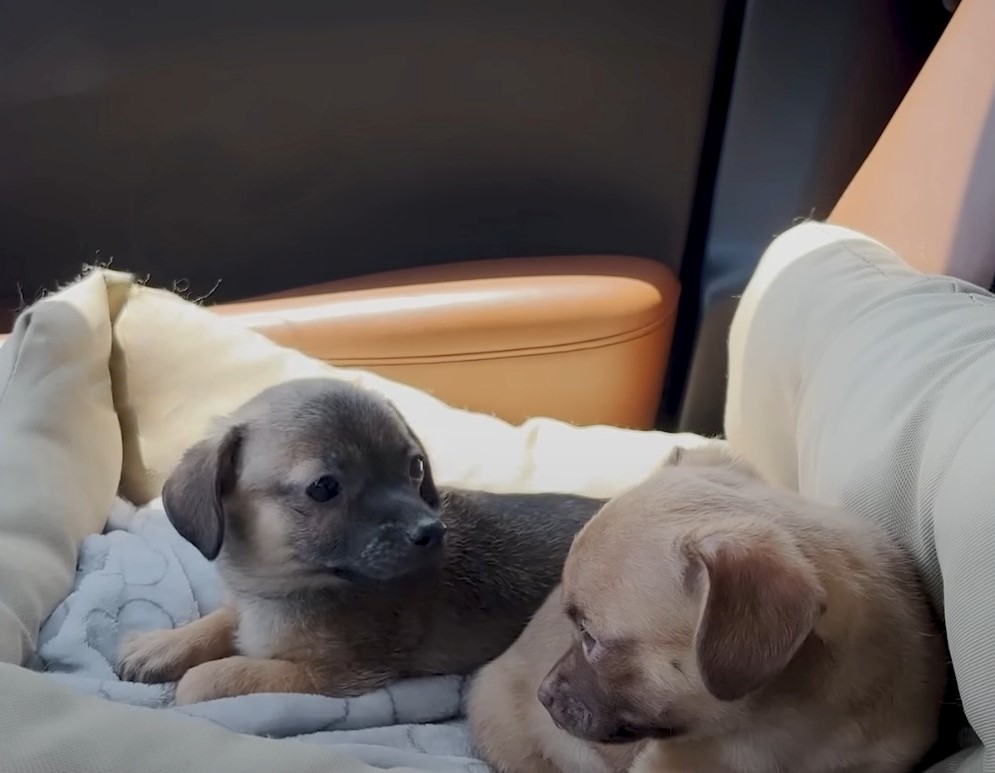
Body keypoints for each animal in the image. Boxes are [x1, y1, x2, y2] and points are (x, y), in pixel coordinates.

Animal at [115, 376, 600, 704]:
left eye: (416, 467)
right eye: (324, 488)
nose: (433, 532)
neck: (285, 587)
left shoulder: (329, 674)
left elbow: (214, 677)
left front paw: (194, 677)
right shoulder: (247, 606)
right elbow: (220, 618)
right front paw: (162, 645)